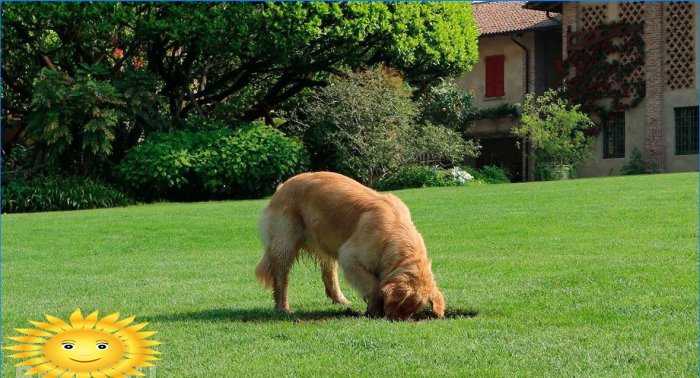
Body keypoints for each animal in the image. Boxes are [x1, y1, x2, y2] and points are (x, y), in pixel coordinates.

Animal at [254, 171, 446, 318]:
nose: (395, 319)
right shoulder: (349, 256)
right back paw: (283, 308)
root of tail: (282, 186)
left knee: (329, 275)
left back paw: (340, 299)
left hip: (327, 243)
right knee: (281, 280)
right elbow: (373, 285)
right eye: (403, 306)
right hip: (284, 245)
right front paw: (373, 308)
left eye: (413, 311)